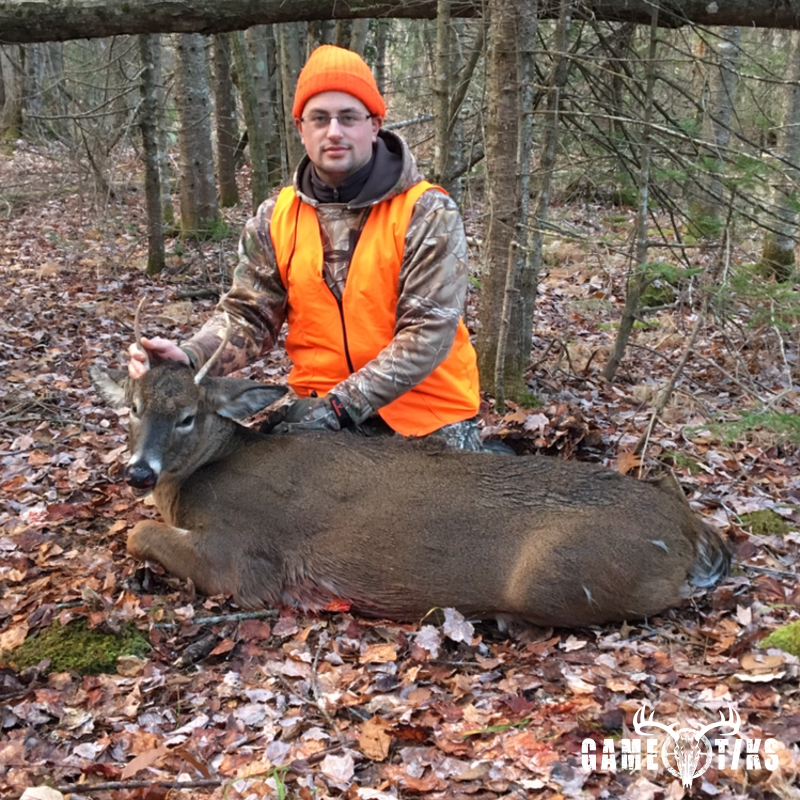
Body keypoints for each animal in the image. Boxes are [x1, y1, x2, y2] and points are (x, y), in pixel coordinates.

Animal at [90, 308, 730, 628]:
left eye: (188, 416)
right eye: (134, 407)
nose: (139, 473)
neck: (205, 475)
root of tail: (687, 529)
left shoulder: (245, 559)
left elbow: (137, 532)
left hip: (562, 574)